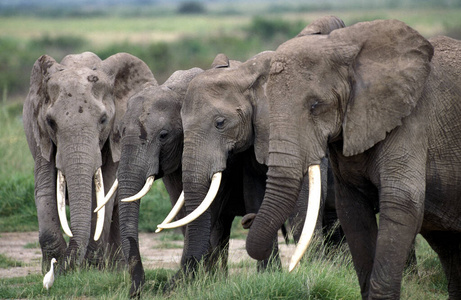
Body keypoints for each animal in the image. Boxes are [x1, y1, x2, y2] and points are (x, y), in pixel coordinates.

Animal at [22, 51, 155, 272]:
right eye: (51, 122)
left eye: (103, 120)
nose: (65, 266)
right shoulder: (39, 133)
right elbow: (45, 188)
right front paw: (53, 265)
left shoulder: (116, 135)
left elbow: (106, 190)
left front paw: (93, 267)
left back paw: (117, 268)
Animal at [156, 15, 346, 290]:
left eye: (220, 123)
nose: (248, 219)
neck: (248, 73)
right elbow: (255, 189)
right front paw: (270, 276)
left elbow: (304, 202)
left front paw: (309, 271)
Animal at [246, 18, 458, 298]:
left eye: (315, 106)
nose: (248, 219)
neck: (346, 44)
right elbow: (352, 211)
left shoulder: (411, 120)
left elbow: (402, 204)